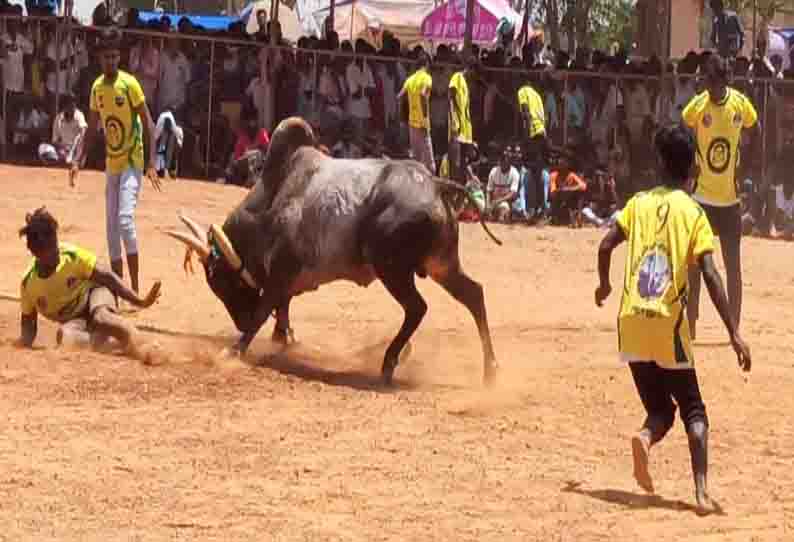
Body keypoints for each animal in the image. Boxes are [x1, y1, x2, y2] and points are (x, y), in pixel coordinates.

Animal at [166, 118, 498, 386]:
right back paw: (489, 370)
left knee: (417, 308)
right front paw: (282, 339)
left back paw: (389, 363)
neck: (271, 200)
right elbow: (282, 310)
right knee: (474, 295)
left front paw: (236, 349)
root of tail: (434, 184)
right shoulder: (286, 281)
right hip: (441, 264)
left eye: (225, 282)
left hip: (392, 269)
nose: (239, 322)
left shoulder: (280, 273)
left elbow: (265, 309)